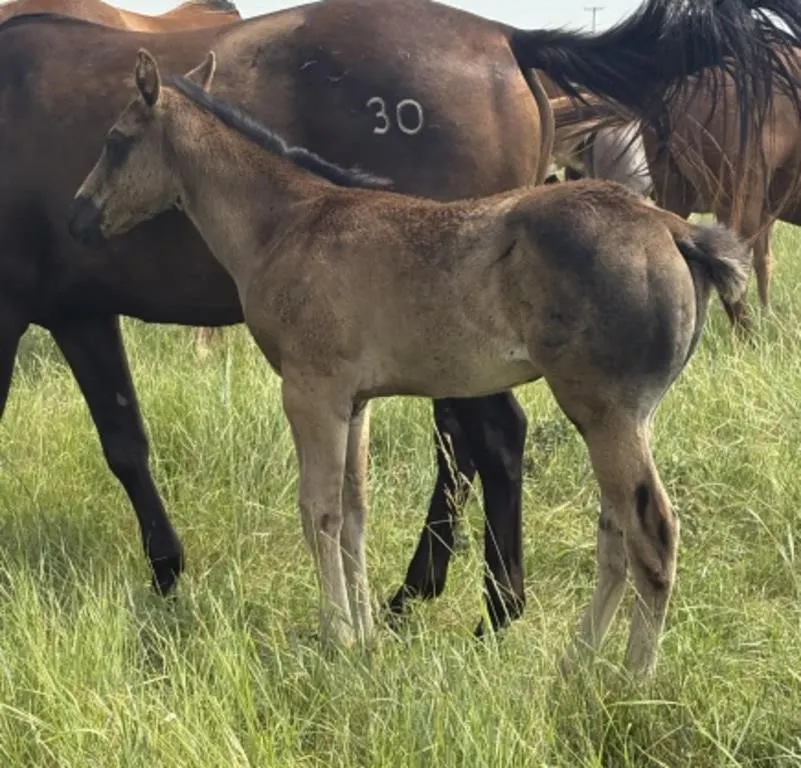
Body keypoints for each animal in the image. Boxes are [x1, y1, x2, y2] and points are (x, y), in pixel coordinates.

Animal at [2, 0, 801, 637]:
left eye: (114, 141)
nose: (79, 218)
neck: (293, 218)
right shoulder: (347, 396)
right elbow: (349, 511)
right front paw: (351, 630)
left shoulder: (308, 390)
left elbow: (315, 510)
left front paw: (333, 635)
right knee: (596, 517)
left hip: (593, 409)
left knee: (593, 499)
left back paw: (544, 642)